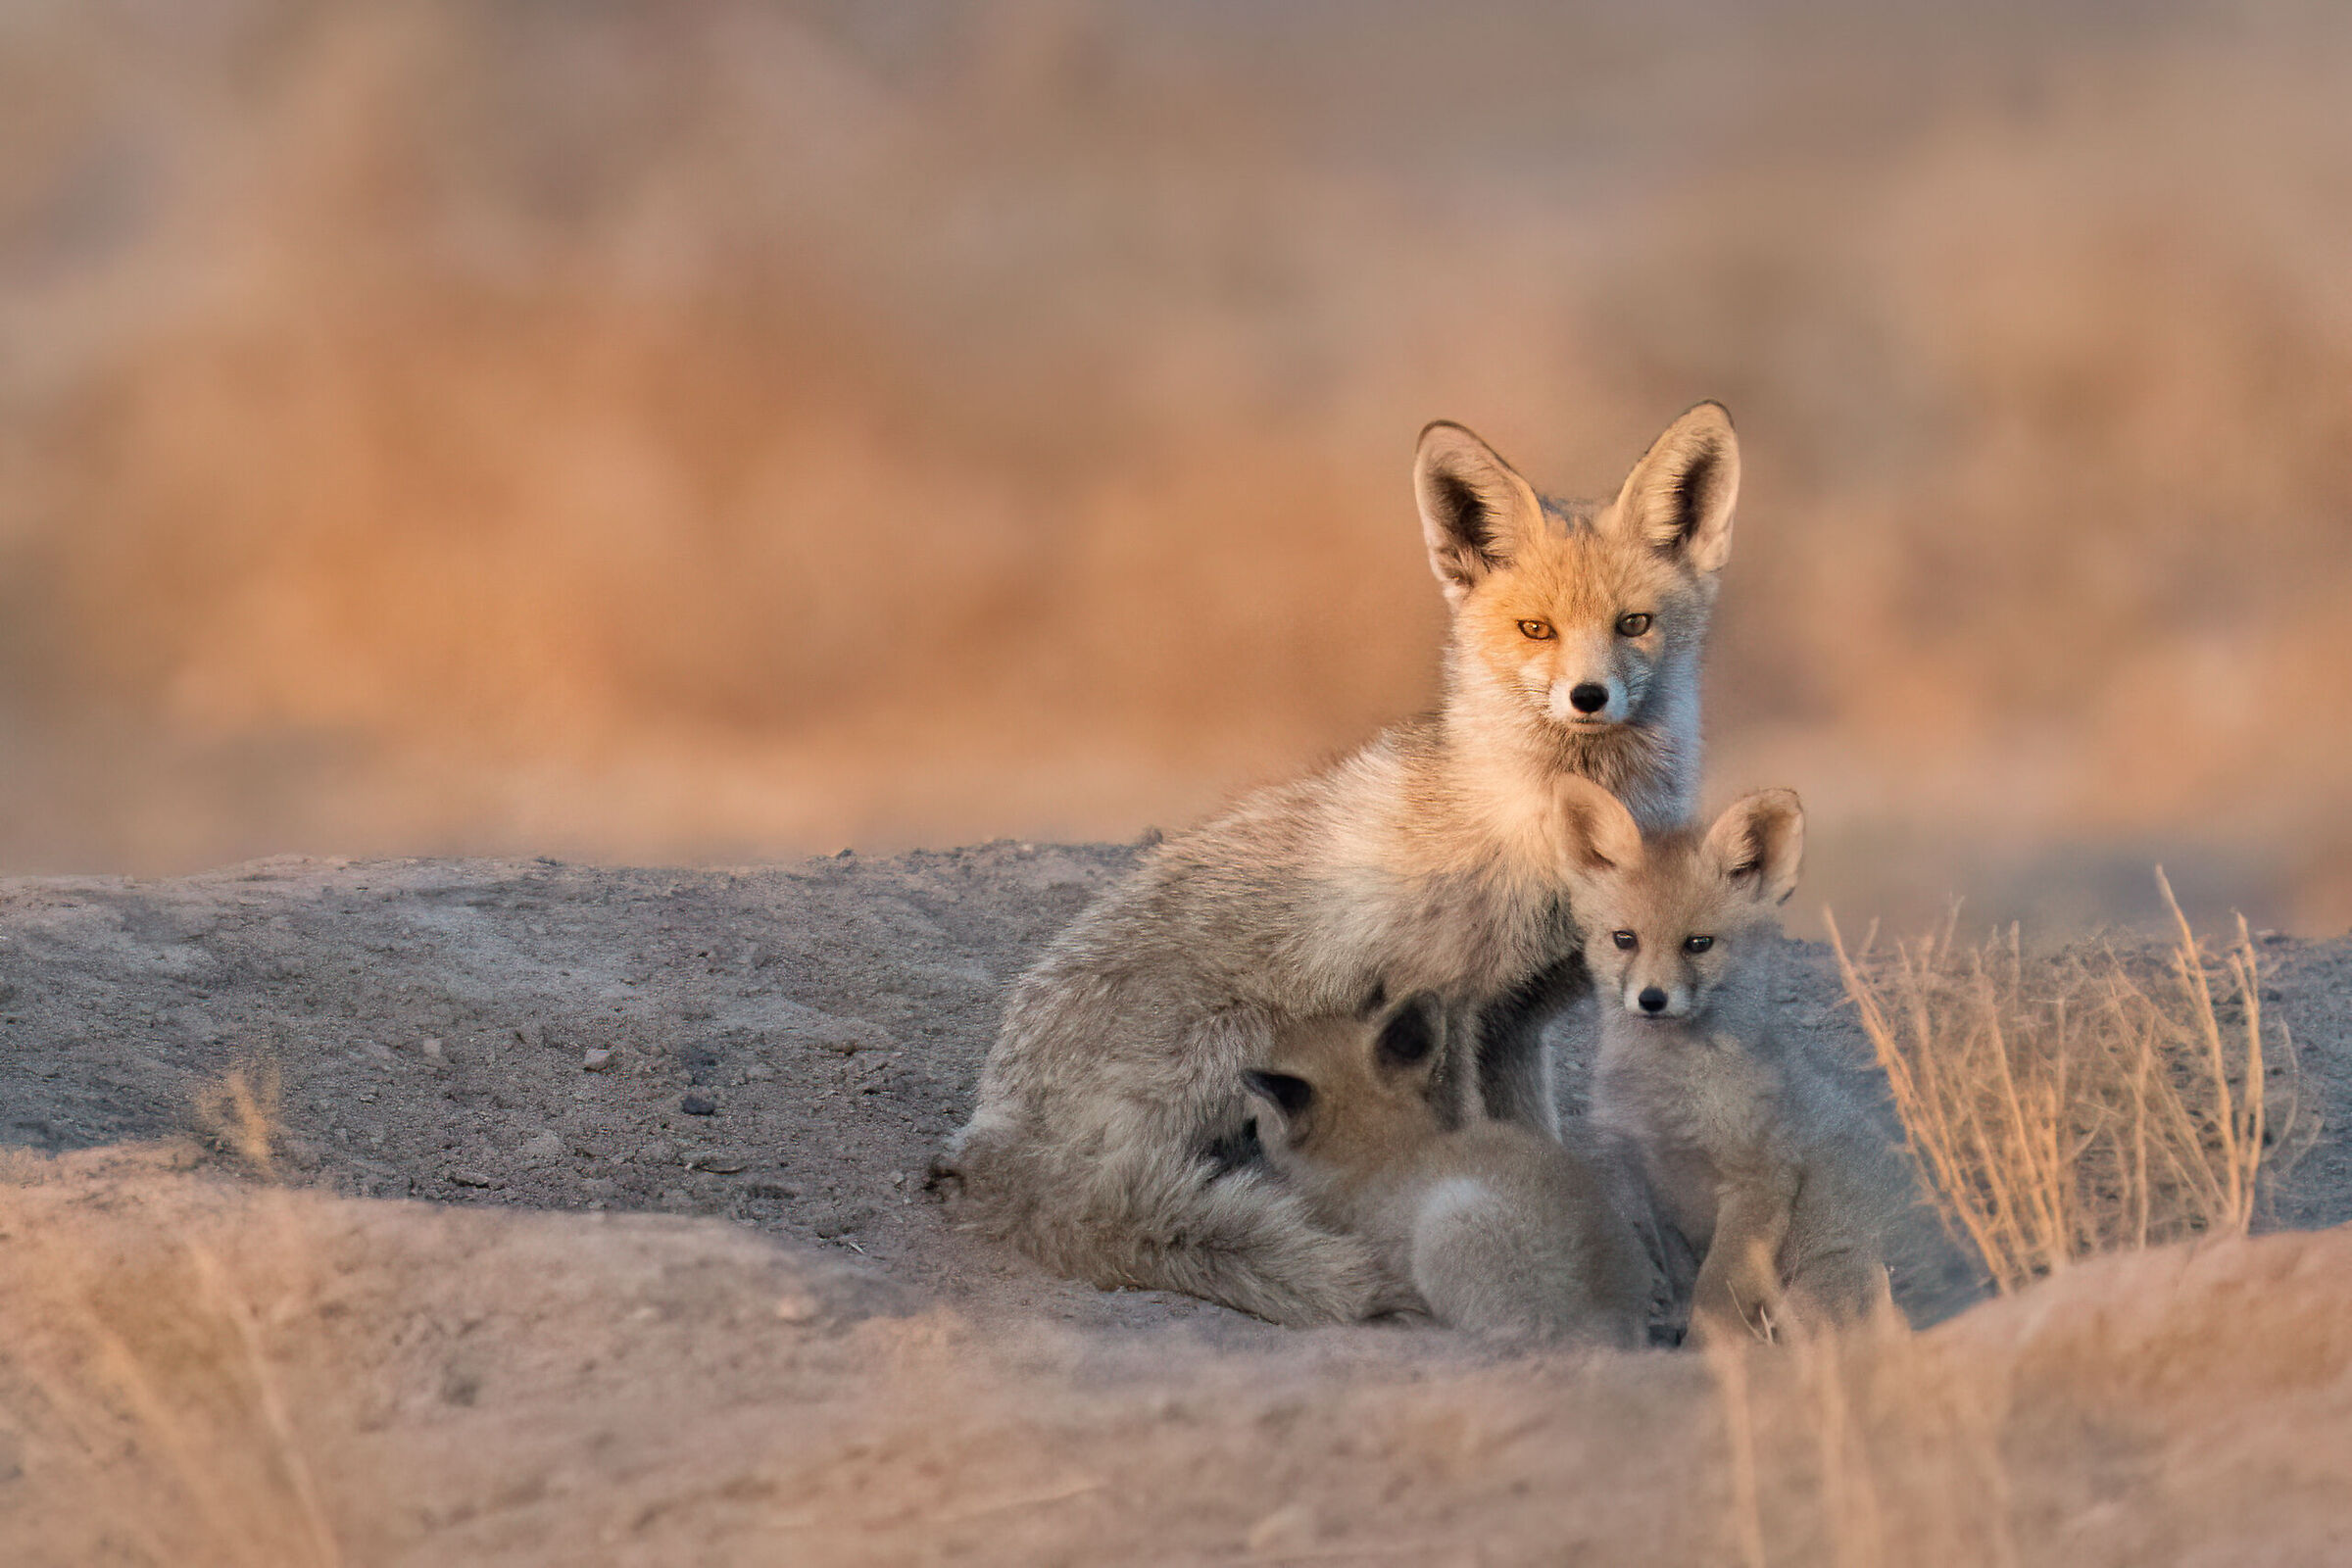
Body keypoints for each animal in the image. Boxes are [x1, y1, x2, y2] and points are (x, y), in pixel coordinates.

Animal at [1555, 778, 1913, 1342]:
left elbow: (1718, 1290)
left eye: (1698, 944)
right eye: (1624, 939)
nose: (1652, 1000)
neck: (1669, 1098)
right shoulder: (1655, 1183)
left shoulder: (1759, 1180)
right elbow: (1686, 1280)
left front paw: (1708, 1348)